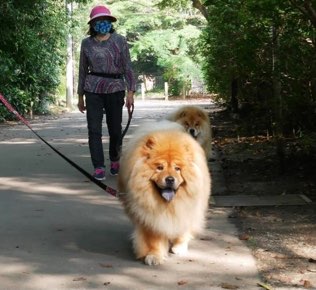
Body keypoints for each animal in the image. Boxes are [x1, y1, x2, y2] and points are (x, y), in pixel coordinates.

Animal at [117, 121, 211, 266]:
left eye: (177, 169)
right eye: (160, 168)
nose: (170, 179)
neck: (169, 205)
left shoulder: (187, 209)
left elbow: (182, 229)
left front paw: (179, 247)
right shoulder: (150, 217)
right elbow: (153, 239)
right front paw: (154, 255)